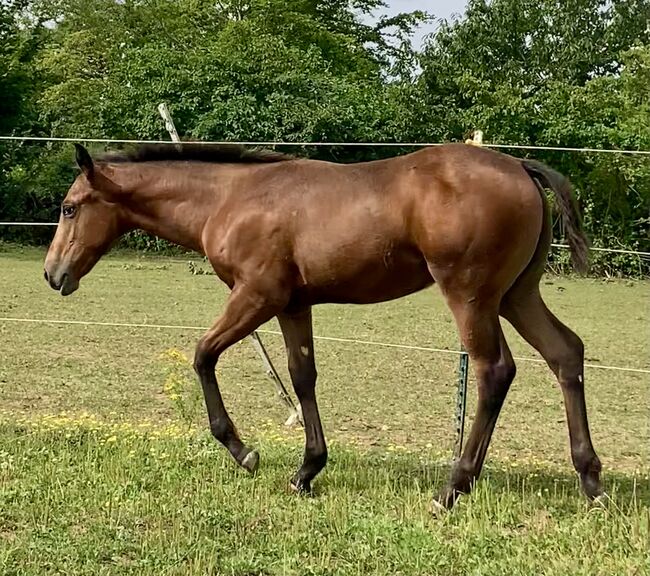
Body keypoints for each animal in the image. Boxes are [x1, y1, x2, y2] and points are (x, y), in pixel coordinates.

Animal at [44, 142, 604, 510]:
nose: (54, 274)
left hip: (470, 296)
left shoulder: (257, 294)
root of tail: (520, 166)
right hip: (516, 296)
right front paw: (307, 470)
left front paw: (244, 452)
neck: (230, 198)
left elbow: (204, 354)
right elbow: (302, 377)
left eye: (70, 208)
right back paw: (590, 481)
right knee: (565, 353)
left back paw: (453, 487)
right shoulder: (293, 304)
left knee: (495, 370)